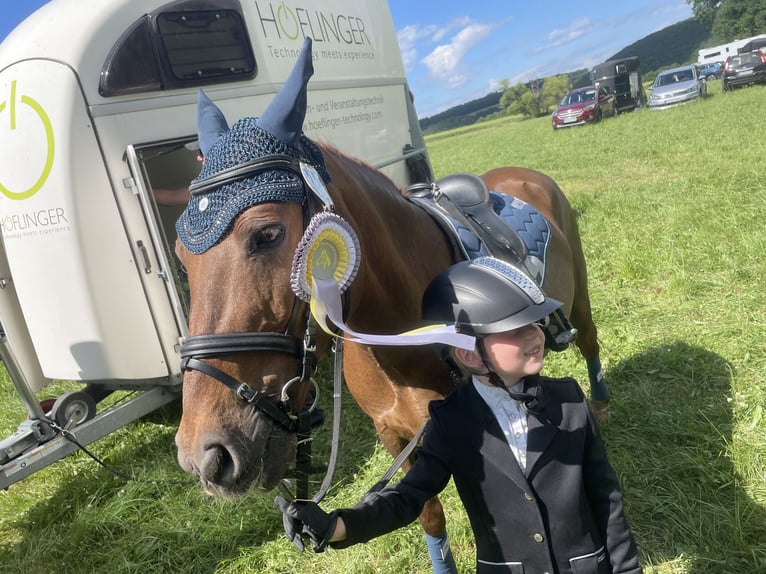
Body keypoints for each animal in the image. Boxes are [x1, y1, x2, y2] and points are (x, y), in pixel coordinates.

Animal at [172, 37, 608, 572]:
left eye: (267, 234)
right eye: (180, 257)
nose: (203, 456)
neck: (401, 333)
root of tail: (524, 175)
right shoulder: (396, 436)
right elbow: (426, 514)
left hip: (581, 299)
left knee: (590, 344)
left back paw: (603, 409)